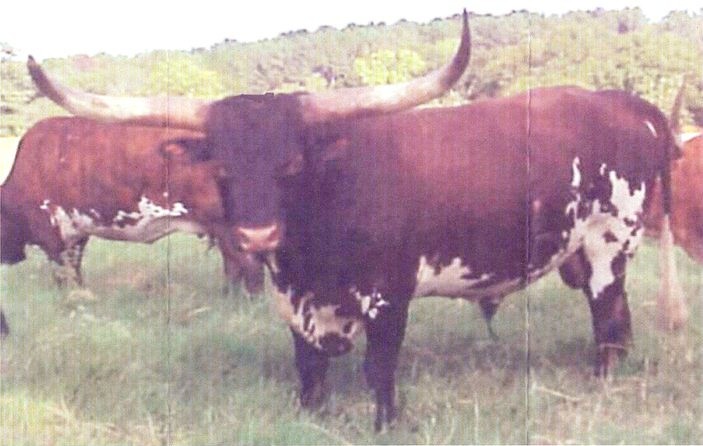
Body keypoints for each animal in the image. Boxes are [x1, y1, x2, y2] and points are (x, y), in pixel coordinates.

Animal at [1, 116, 264, 294]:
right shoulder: (77, 233)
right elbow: (75, 271)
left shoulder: (50, 235)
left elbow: (62, 275)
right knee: (236, 268)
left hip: (230, 230)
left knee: (249, 268)